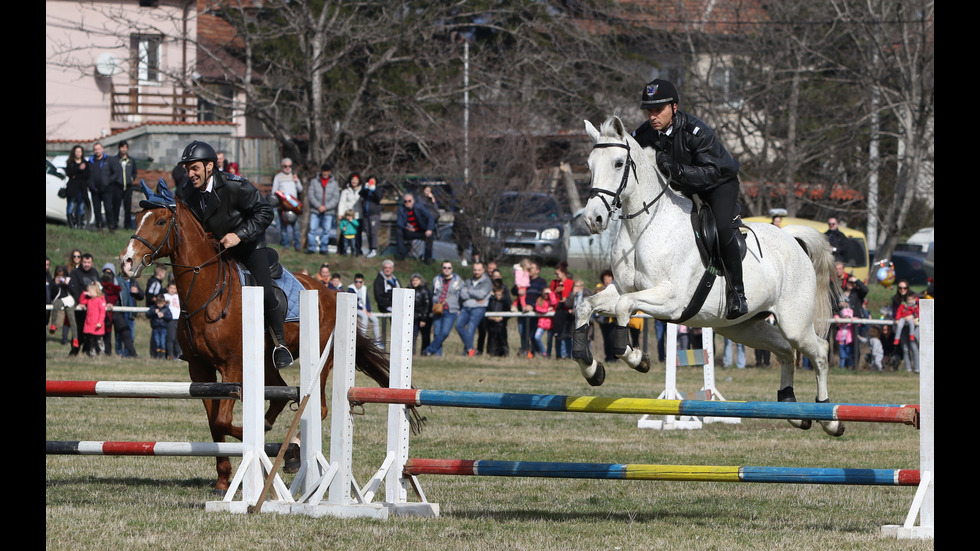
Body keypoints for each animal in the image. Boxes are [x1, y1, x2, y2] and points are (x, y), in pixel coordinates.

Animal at [121, 193, 406, 496]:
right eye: (137, 219)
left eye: (161, 221)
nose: (126, 262)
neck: (208, 291)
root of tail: (331, 293)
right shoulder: (200, 371)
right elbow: (214, 423)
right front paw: (223, 480)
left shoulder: (232, 366)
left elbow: (224, 421)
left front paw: (270, 446)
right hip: (269, 361)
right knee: (280, 394)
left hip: (320, 360)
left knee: (319, 408)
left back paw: (293, 449)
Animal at [580, 116, 848, 436]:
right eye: (590, 164)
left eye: (619, 163)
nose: (593, 219)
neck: (644, 225)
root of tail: (793, 240)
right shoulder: (621, 289)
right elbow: (586, 305)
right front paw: (593, 370)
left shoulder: (671, 301)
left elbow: (623, 308)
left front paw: (637, 359)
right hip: (742, 327)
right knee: (785, 351)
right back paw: (792, 409)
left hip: (794, 322)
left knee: (818, 351)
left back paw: (829, 418)